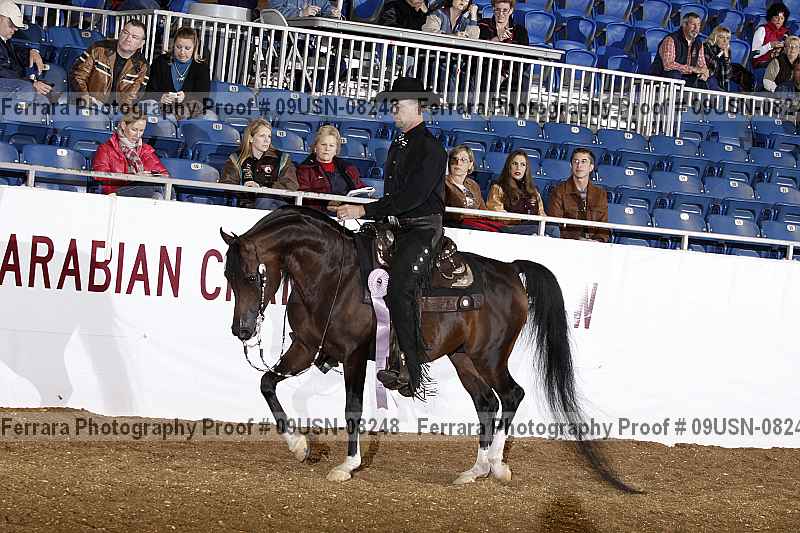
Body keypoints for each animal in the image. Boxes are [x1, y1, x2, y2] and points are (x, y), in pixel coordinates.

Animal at [220, 205, 638, 491]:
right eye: (227, 276)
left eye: (250, 275)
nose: (242, 330)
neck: (333, 275)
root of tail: (509, 269)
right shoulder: (306, 347)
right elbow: (268, 384)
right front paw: (300, 446)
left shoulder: (354, 355)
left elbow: (352, 409)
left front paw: (347, 465)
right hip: (463, 358)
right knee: (486, 403)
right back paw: (475, 469)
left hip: (490, 356)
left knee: (511, 395)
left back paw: (497, 464)